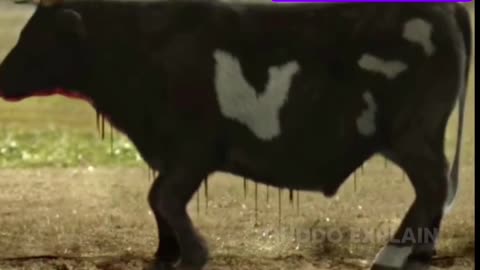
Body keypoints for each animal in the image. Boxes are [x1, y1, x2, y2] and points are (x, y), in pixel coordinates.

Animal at [0, 0, 472, 270]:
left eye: (37, 37)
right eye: (25, 31)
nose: (2, 76)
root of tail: (443, 6)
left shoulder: (192, 149)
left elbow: (160, 197)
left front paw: (192, 255)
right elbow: (159, 204)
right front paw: (165, 254)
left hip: (413, 132)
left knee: (433, 185)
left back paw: (389, 257)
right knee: (434, 190)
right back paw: (420, 253)